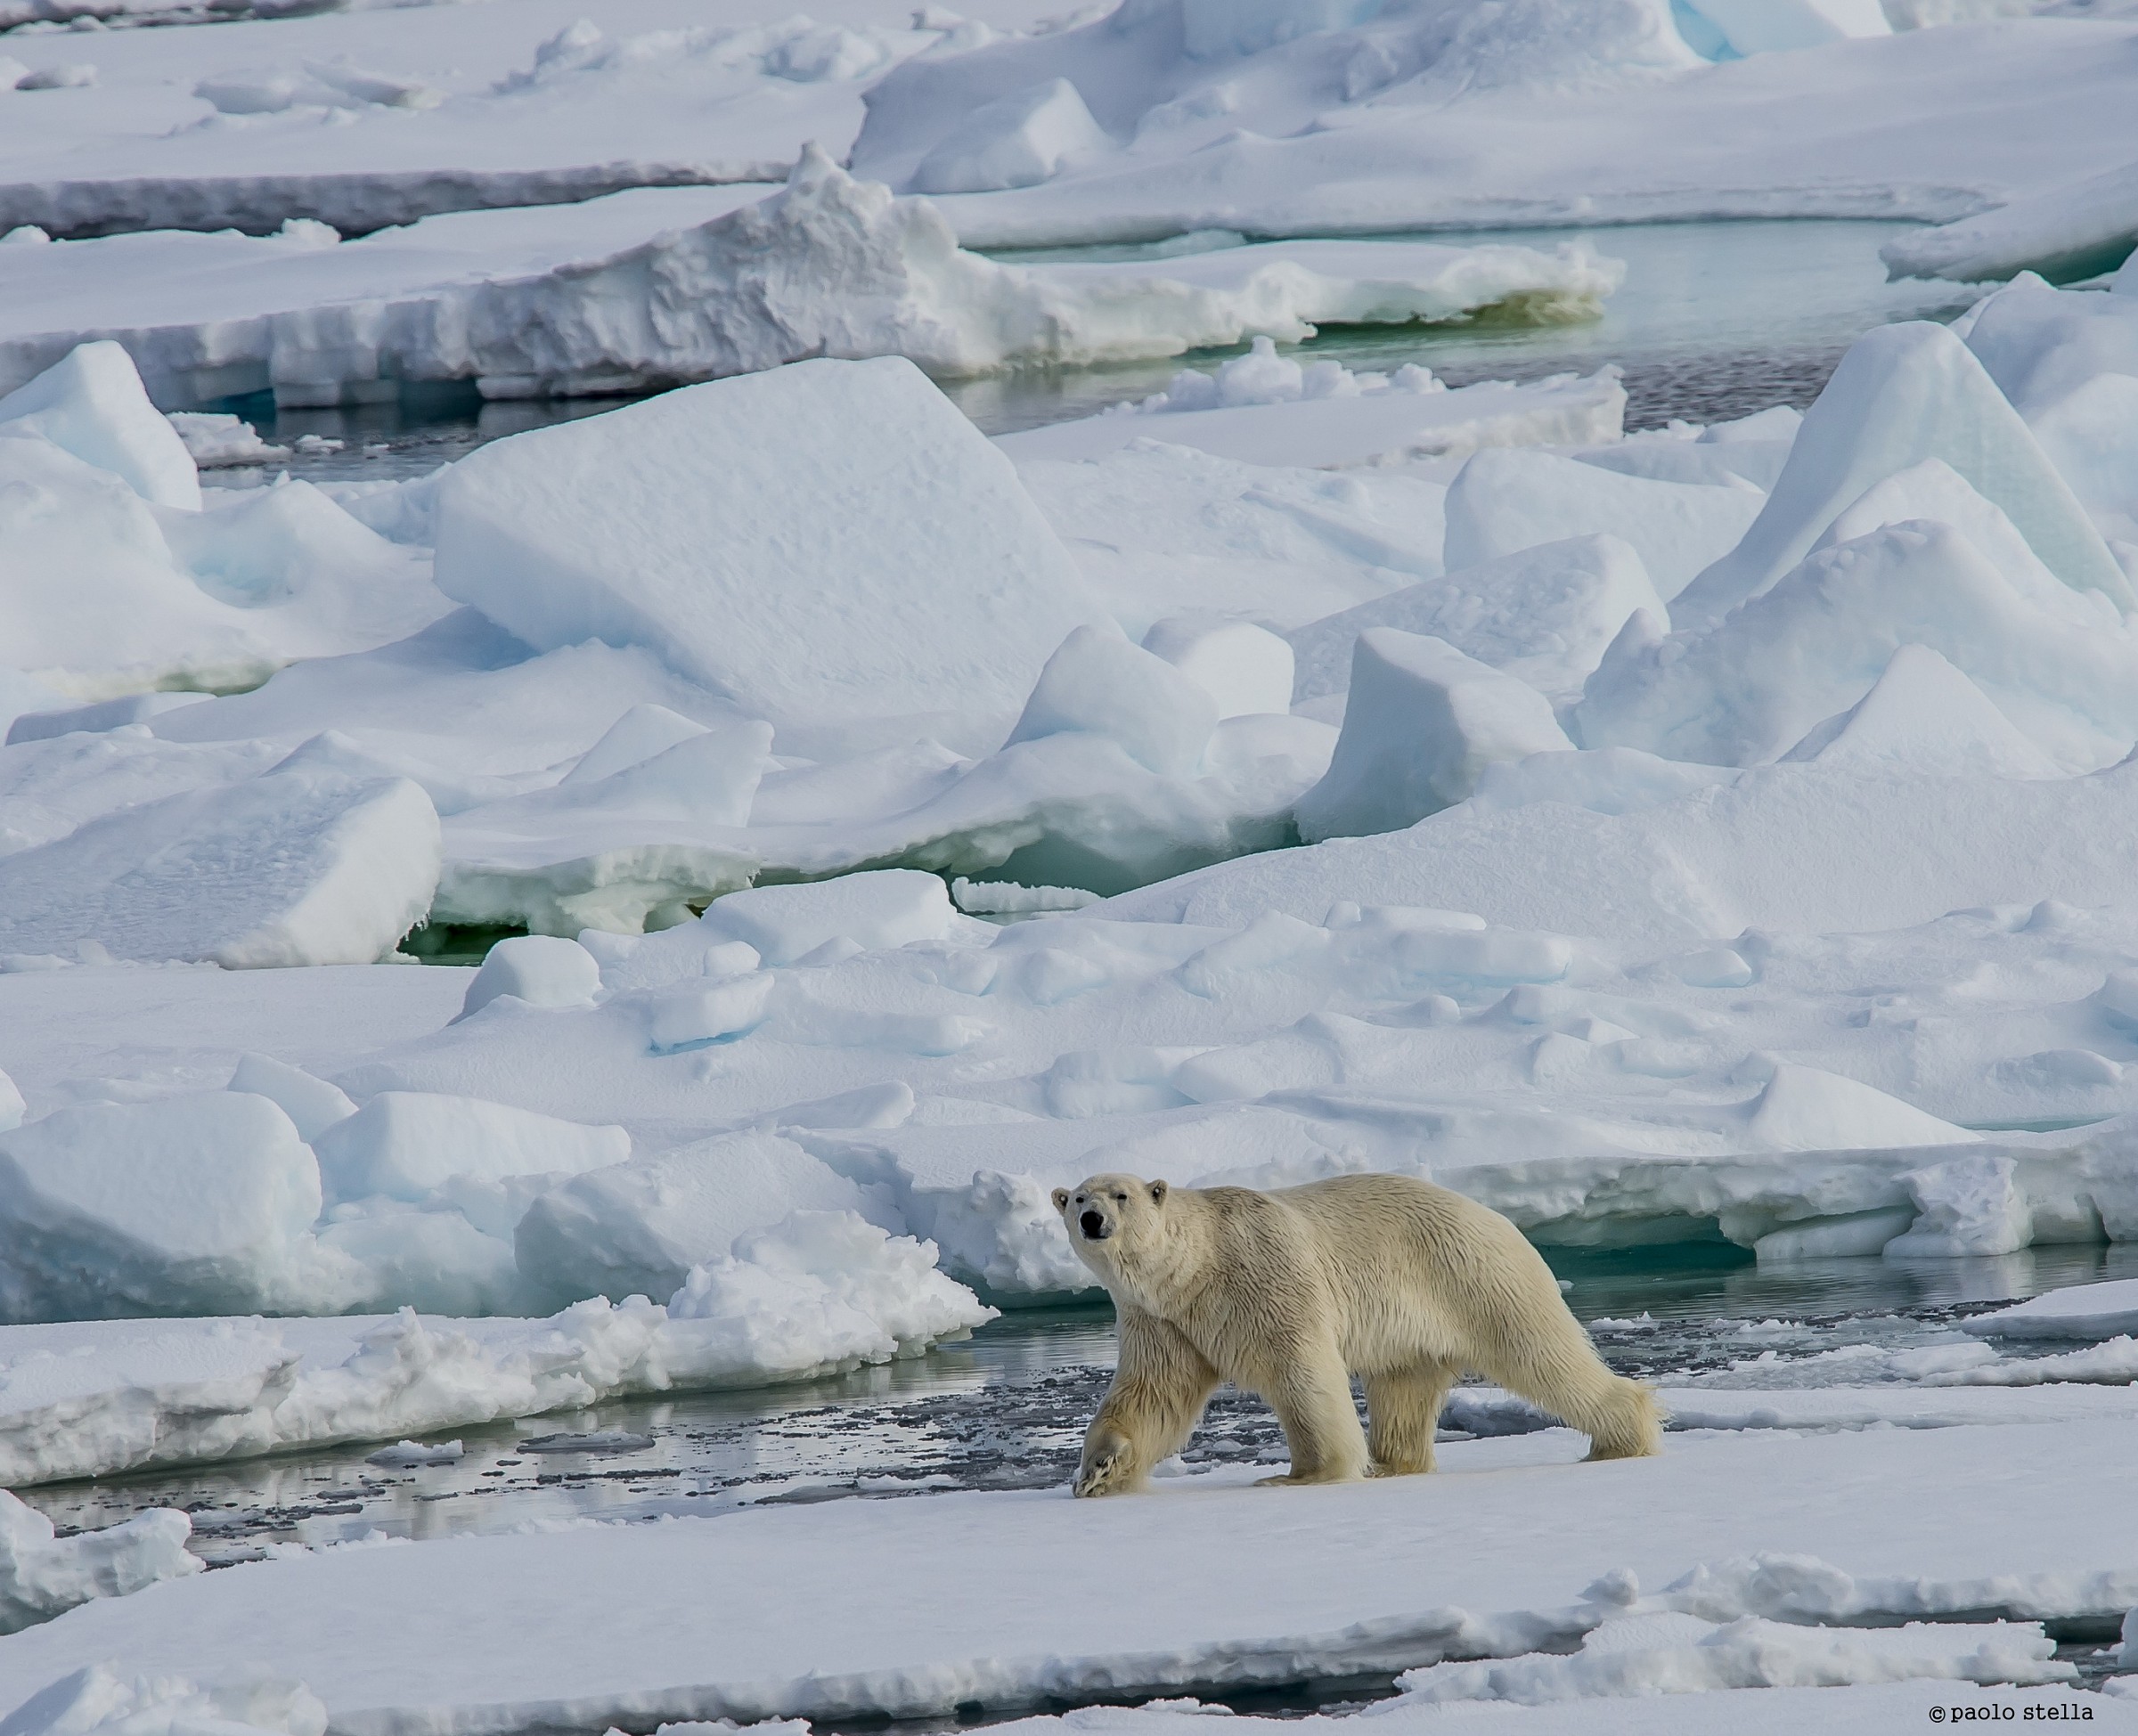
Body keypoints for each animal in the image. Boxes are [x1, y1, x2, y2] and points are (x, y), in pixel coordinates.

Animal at [1051, 1170, 1661, 1496]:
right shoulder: (1163, 1319)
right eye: (1077, 1197)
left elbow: (1302, 1372)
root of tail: (1499, 1218)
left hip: (1475, 1275)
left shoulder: (1263, 1277)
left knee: (1539, 1352)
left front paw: (1301, 1476)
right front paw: (1097, 1473)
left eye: (1122, 1195)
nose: (1092, 1219)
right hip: (1416, 1326)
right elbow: (1152, 1392)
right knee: (1404, 1389)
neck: (1196, 1268)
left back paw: (1621, 1438)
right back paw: (1394, 1465)